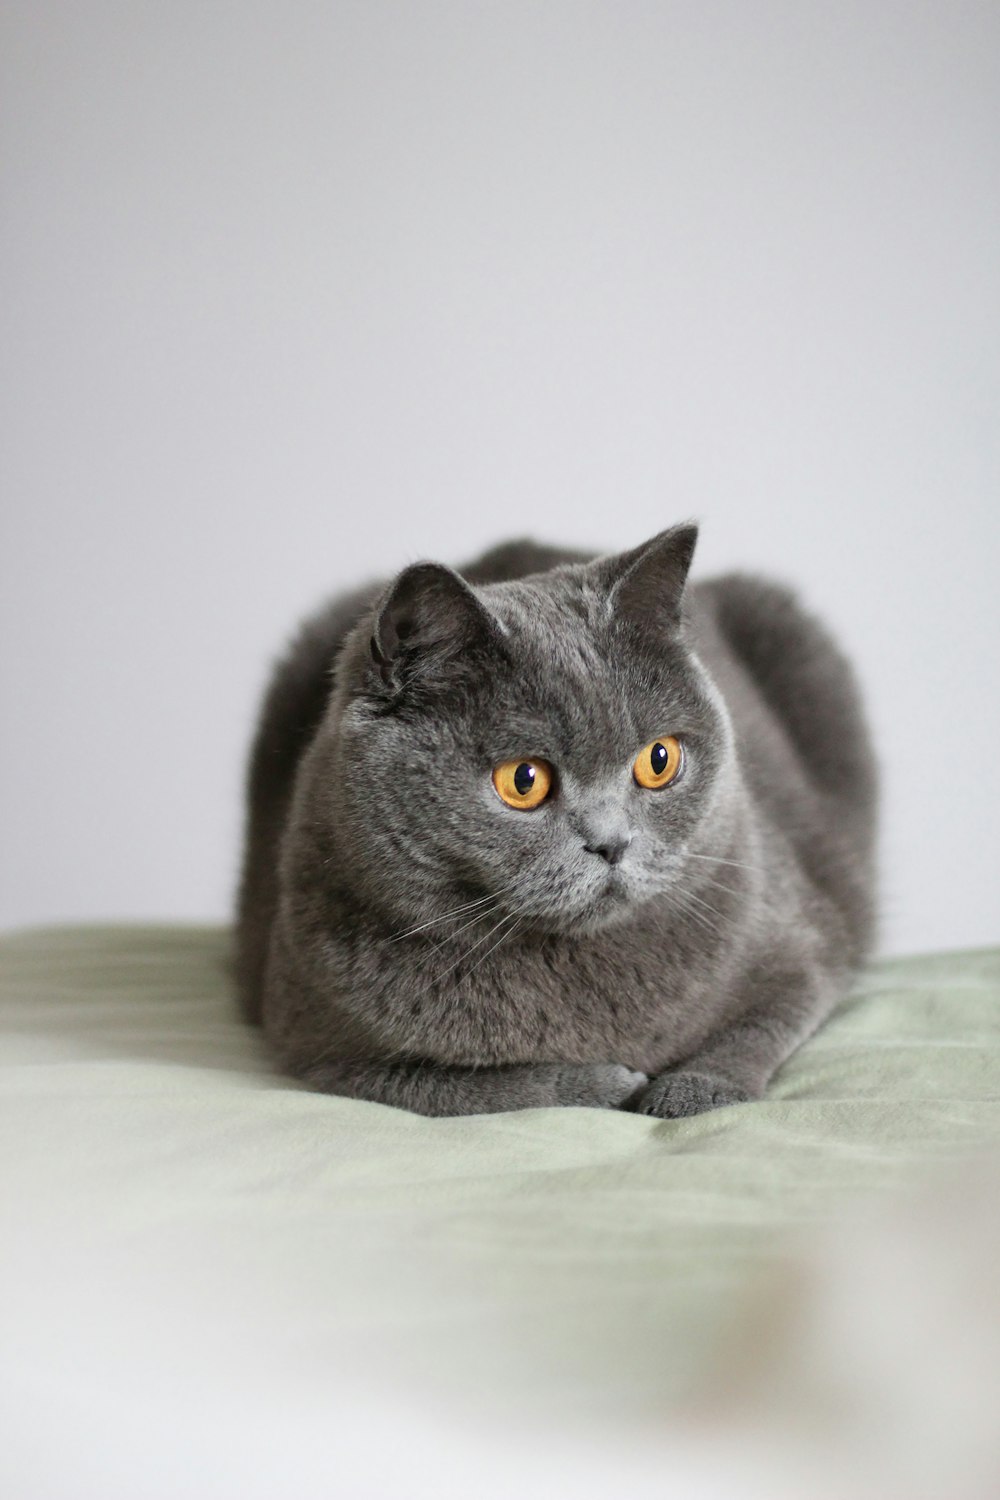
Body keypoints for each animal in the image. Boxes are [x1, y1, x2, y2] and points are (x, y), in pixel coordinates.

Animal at [232, 528, 875, 1116]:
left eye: (659, 760)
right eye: (523, 780)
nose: (612, 843)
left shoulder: (807, 947)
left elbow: (760, 1025)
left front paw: (690, 1091)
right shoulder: (318, 1049)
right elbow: (469, 1090)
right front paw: (606, 1084)